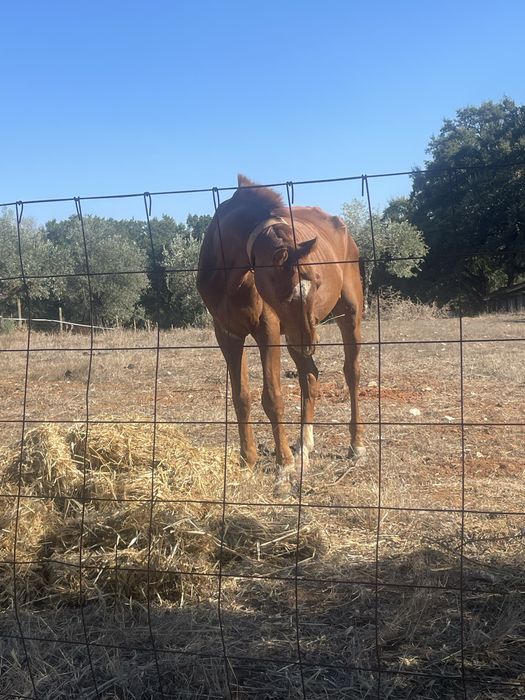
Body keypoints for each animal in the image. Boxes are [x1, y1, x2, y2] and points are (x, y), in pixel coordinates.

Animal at [197, 175, 365, 493]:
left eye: (317, 281)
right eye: (284, 290)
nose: (310, 341)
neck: (229, 275)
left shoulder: (268, 330)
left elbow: (272, 398)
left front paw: (283, 468)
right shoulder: (227, 335)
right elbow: (241, 397)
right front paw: (247, 461)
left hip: (348, 314)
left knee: (351, 372)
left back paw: (356, 445)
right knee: (310, 376)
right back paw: (304, 445)